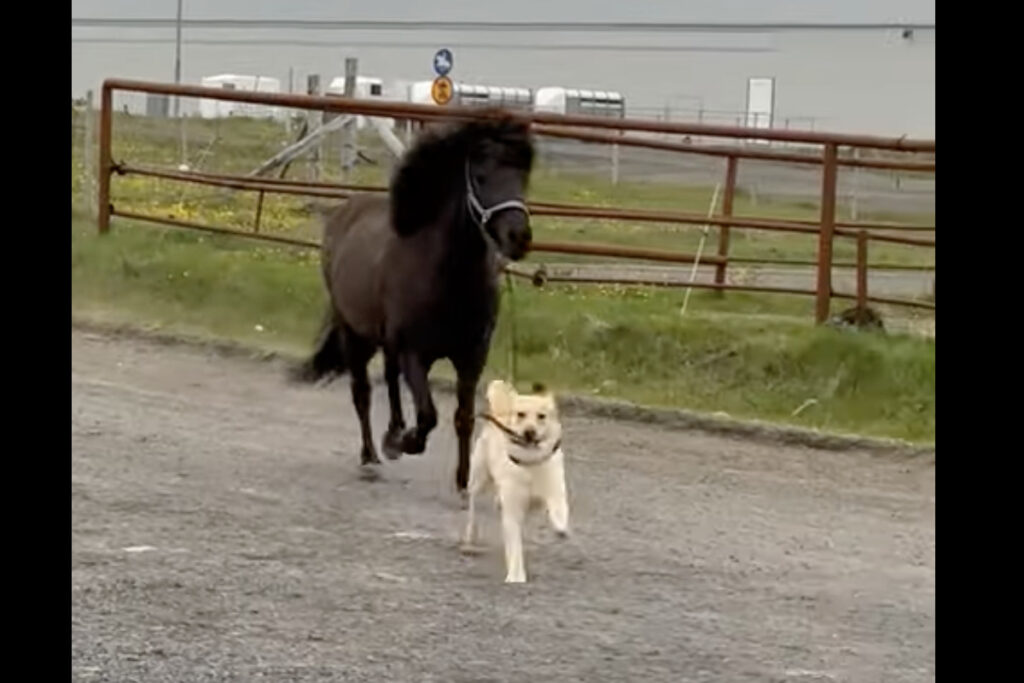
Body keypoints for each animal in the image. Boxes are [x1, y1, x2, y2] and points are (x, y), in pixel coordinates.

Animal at [294, 116, 536, 491]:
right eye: (481, 176)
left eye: (522, 177)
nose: (518, 238)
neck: (449, 279)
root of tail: (342, 212)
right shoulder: (415, 353)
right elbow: (427, 415)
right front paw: (404, 443)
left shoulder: (471, 357)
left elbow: (463, 417)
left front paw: (463, 481)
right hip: (355, 334)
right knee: (362, 392)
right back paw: (372, 455)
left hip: (384, 340)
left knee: (390, 380)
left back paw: (391, 435)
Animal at [462, 378, 569, 581]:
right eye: (521, 414)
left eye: (541, 416)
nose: (529, 432)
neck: (530, 464)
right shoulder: (512, 508)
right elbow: (514, 545)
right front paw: (516, 576)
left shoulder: (554, 488)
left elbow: (558, 507)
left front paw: (561, 527)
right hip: (479, 479)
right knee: (473, 506)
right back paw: (471, 535)